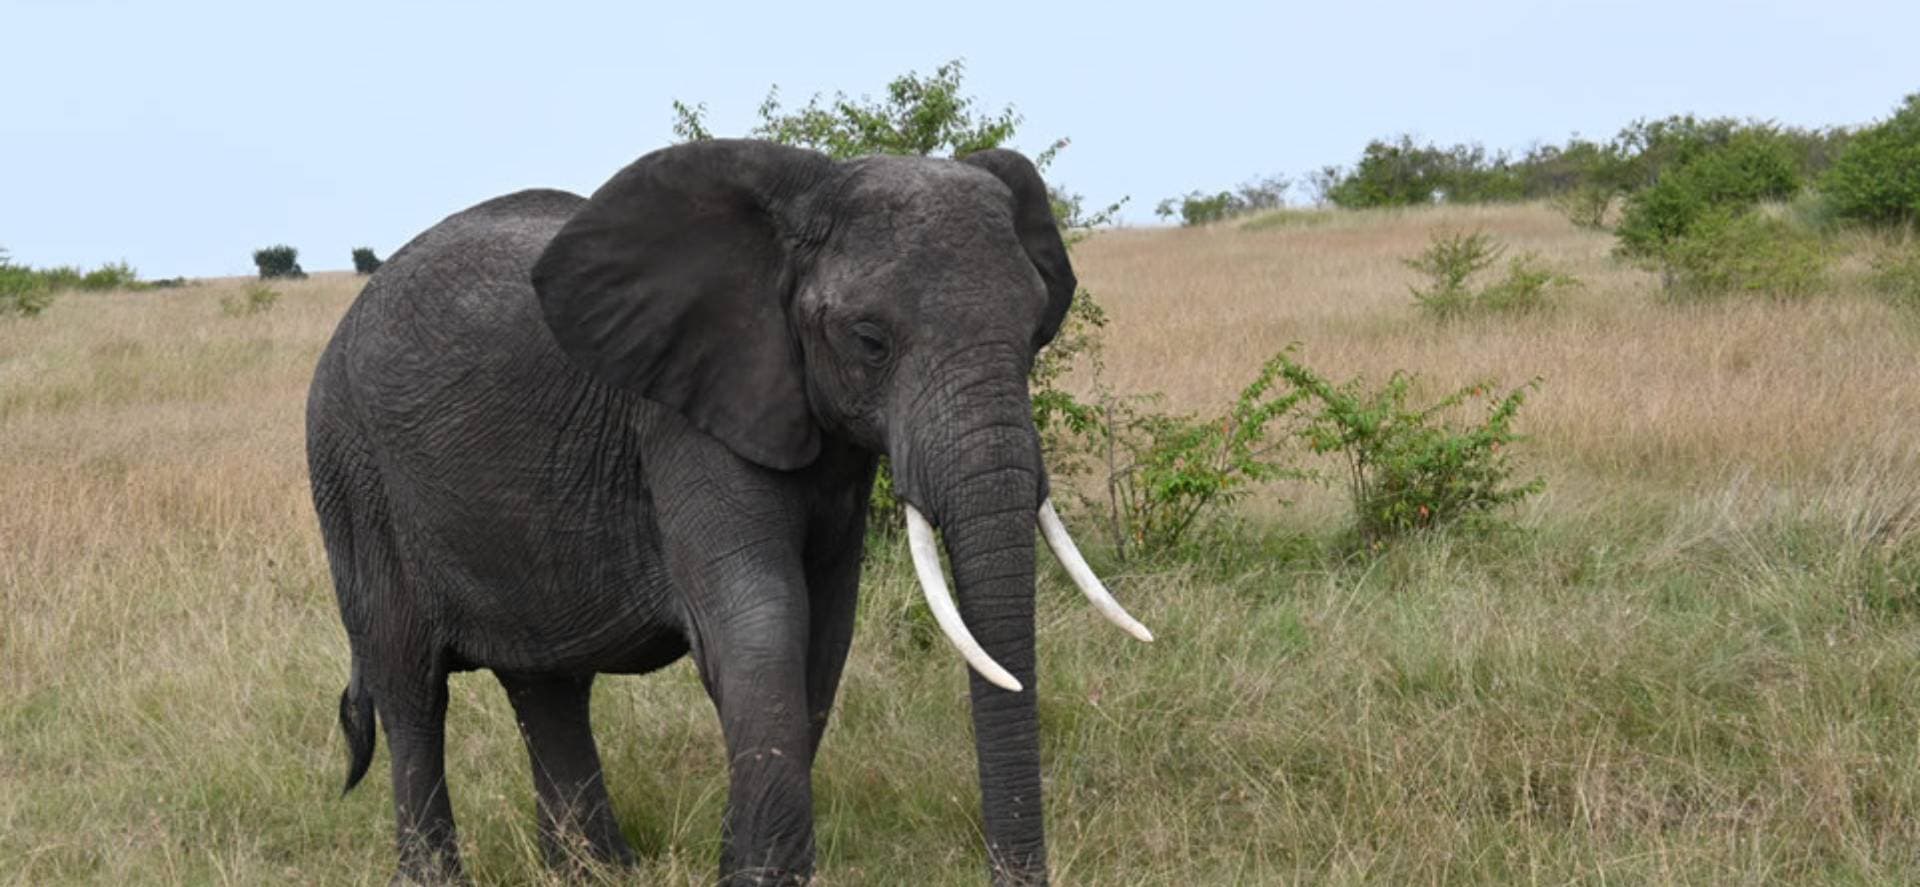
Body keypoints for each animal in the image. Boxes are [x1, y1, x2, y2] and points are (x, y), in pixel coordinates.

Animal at [304, 139, 1150, 886]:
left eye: (1036, 333)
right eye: (869, 340)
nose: (1009, 875)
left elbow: (822, 636)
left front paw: (740, 866)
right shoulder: (684, 417)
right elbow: (761, 622)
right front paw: (759, 878)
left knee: (547, 685)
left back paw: (599, 872)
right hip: (350, 470)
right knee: (411, 685)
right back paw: (440, 876)